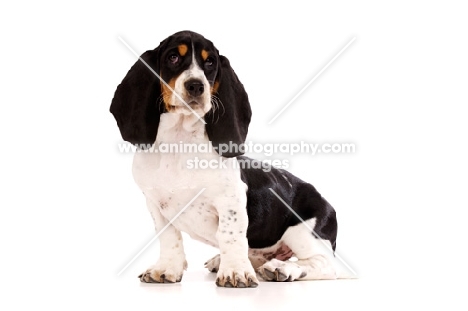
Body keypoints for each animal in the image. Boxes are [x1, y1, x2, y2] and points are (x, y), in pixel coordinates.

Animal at [113, 30, 340, 288]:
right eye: (173, 57)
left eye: (210, 62)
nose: (196, 86)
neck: (179, 142)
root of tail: (328, 204)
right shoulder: (155, 204)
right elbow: (169, 237)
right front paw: (166, 268)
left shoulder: (230, 199)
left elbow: (230, 235)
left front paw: (235, 272)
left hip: (303, 233)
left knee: (324, 265)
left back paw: (282, 269)